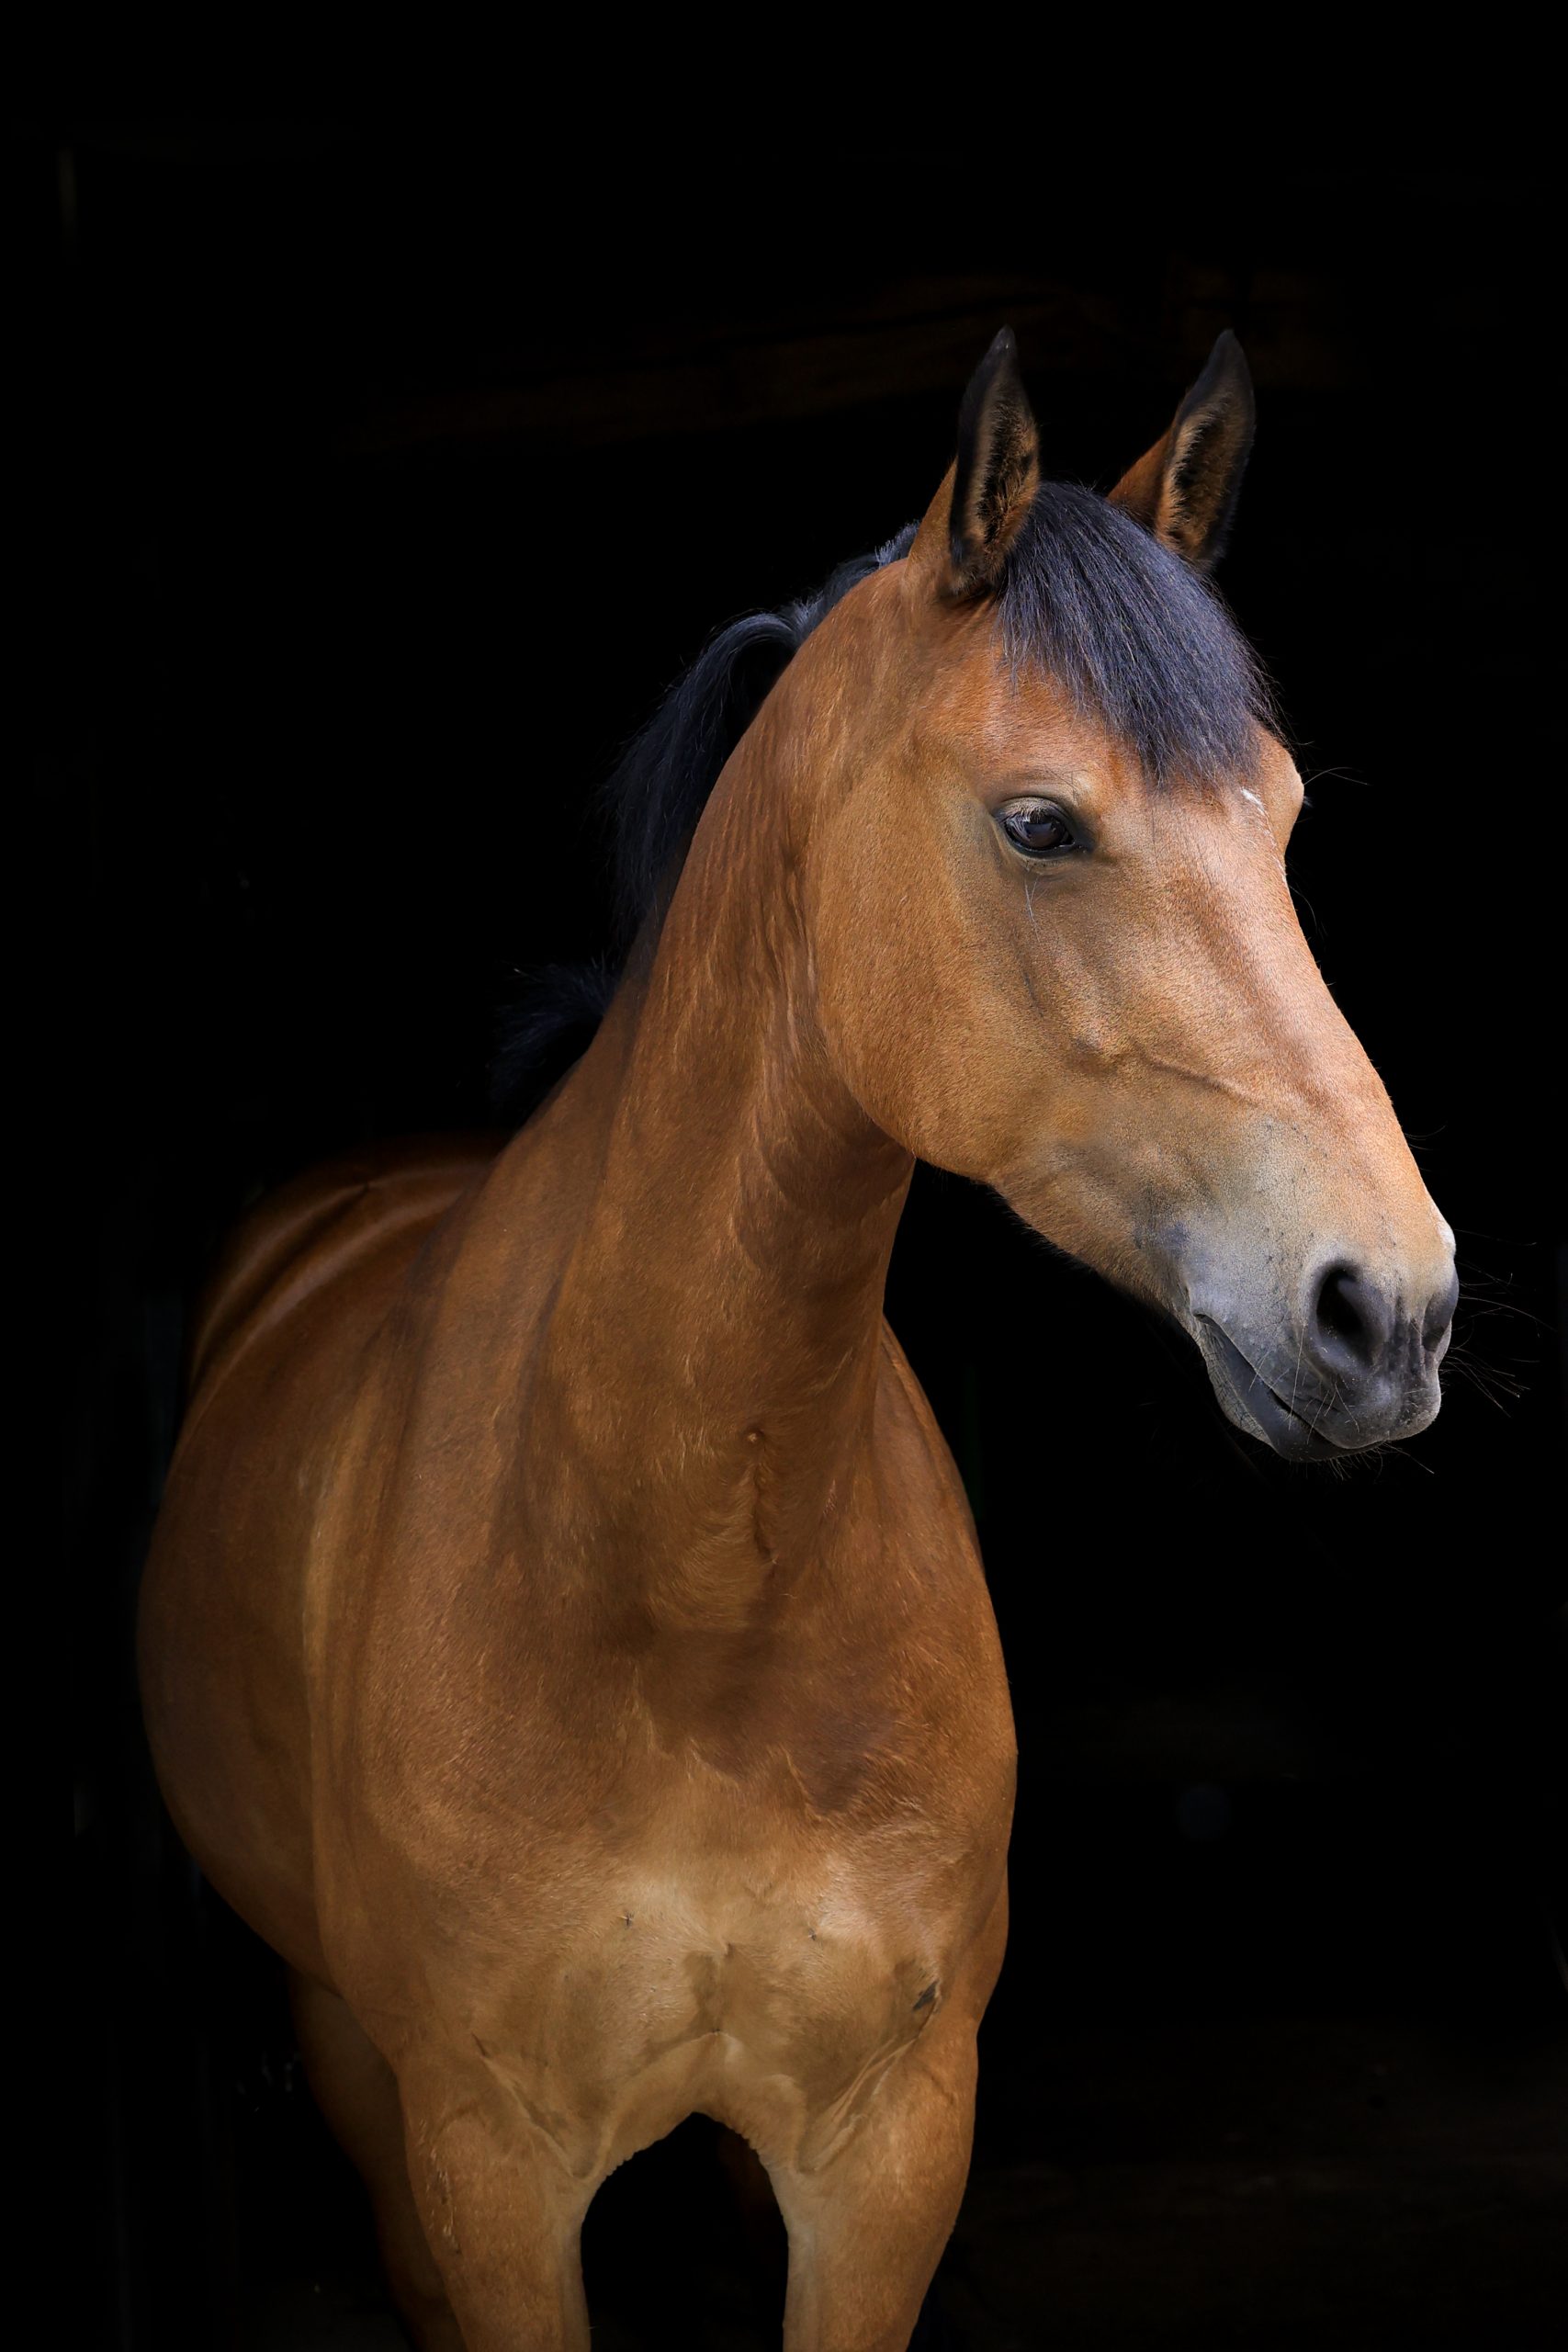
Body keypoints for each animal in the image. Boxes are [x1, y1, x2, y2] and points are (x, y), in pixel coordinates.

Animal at [138, 327, 1459, 2349]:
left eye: (1288, 822)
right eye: (1038, 820)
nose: (1385, 1304)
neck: (685, 1584)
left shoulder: (887, 2147)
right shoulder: (487, 2169)